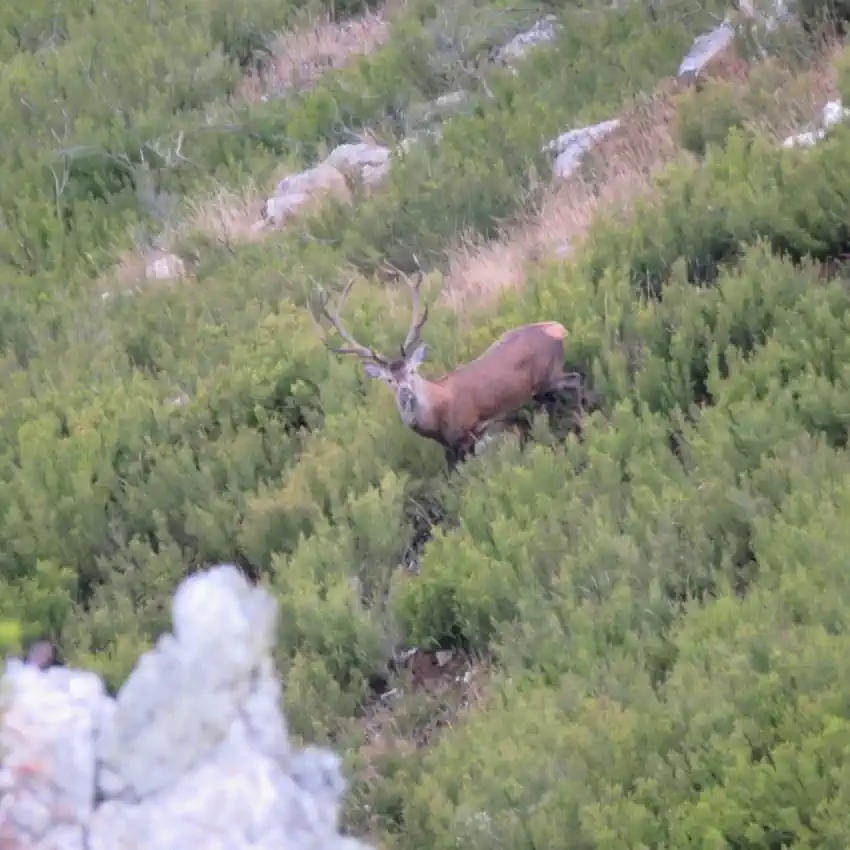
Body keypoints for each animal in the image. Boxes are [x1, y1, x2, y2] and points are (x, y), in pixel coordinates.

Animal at [311, 274, 590, 472]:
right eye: (390, 380)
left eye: (412, 372)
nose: (406, 395)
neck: (437, 417)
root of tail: (559, 328)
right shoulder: (450, 447)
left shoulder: (468, 434)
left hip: (548, 376)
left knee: (575, 380)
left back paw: (582, 425)